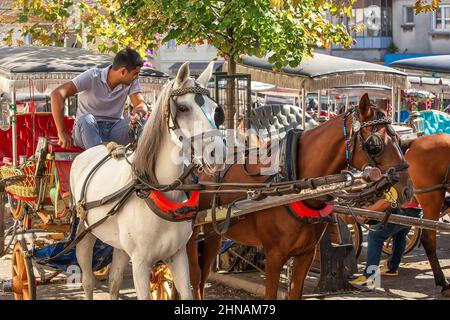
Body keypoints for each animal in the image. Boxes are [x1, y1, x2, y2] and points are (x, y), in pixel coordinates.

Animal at [71, 62, 225, 300]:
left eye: (215, 109)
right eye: (183, 108)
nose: (217, 154)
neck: (157, 188)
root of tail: (92, 150)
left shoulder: (178, 255)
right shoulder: (141, 263)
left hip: (120, 245)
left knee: (114, 283)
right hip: (84, 231)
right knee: (87, 281)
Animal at [186, 93, 412, 300]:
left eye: (401, 141)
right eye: (374, 144)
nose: (407, 190)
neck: (295, 181)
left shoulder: (306, 254)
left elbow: (295, 293)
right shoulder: (274, 256)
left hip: (214, 234)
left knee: (203, 276)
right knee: (196, 277)